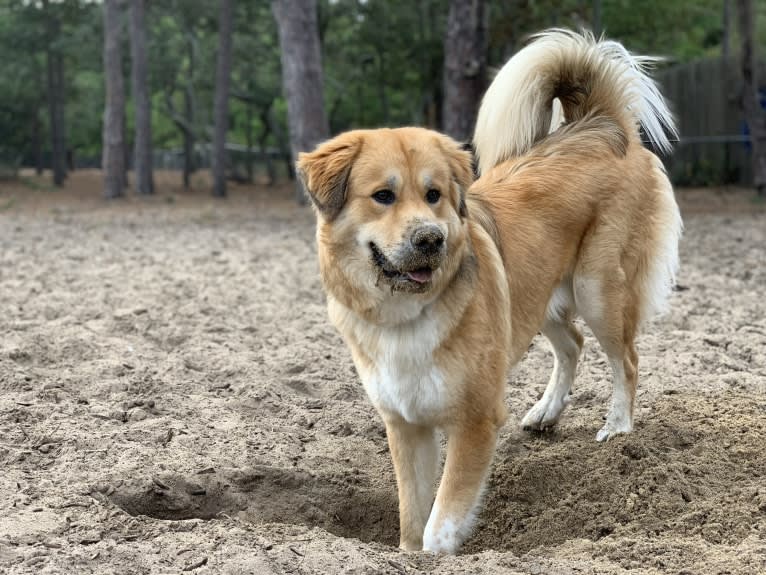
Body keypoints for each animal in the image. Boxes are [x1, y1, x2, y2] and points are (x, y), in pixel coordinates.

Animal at [296, 30, 680, 552]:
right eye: (383, 196)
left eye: (434, 194)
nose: (430, 239)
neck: (405, 314)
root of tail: (600, 124)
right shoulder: (406, 426)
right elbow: (412, 514)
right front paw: (408, 553)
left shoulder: (475, 422)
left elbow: (441, 518)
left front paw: (437, 552)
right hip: (537, 296)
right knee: (573, 344)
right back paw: (545, 412)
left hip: (597, 288)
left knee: (627, 361)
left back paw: (618, 428)